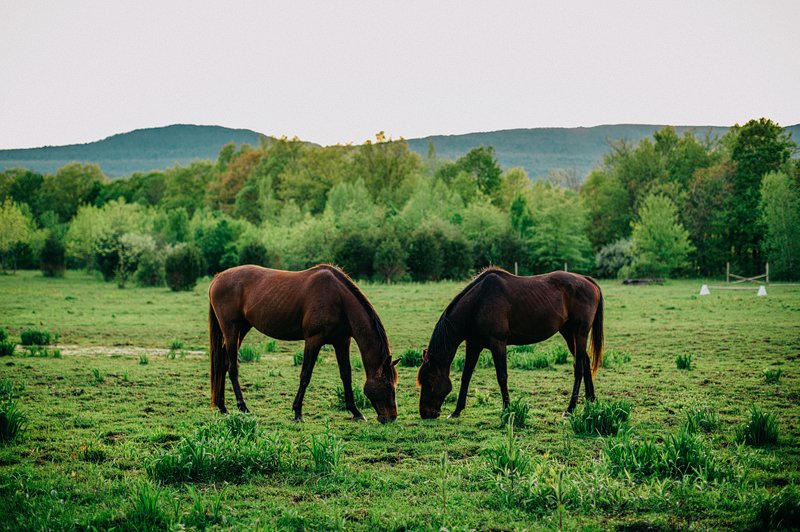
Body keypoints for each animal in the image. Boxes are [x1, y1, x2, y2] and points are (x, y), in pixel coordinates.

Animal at [209, 264, 400, 422]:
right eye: (387, 385)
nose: (391, 417)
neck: (339, 299)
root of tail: (217, 278)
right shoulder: (313, 341)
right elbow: (305, 375)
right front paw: (297, 412)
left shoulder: (341, 341)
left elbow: (346, 375)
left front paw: (356, 412)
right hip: (231, 330)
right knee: (232, 368)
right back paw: (242, 407)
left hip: (242, 329)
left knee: (223, 364)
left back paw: (222, 407)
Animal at [418, 270, 600, 420]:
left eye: (429, 381)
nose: (425, 413)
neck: (477, 303)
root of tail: (587, 280)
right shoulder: (474, 345)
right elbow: (466, 375)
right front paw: (457, 411)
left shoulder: (498, 343)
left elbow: (502, 376)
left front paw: (506, 409)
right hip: (569, 333)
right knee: (585, 362)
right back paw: (590, 402)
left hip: (580, 333)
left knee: (579, 367)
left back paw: (570, 409)